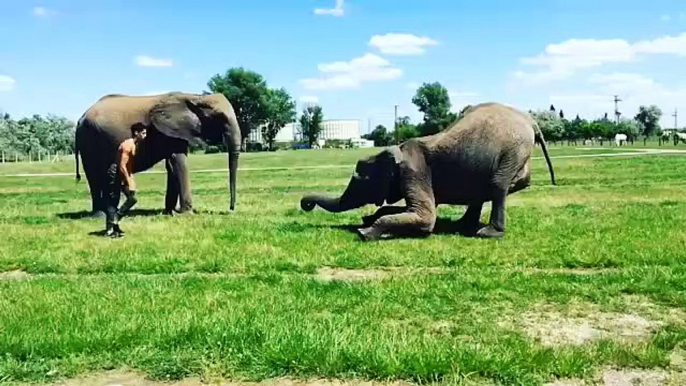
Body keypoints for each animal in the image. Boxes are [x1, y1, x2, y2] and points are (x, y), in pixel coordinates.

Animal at [74, 90, 242, 217]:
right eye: (221, 117)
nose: (231, 209)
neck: (195, 97)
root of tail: (80, 118)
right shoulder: (170, 130)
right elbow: (179, 162)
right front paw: (186, 214)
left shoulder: (174, 132)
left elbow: (172, 165)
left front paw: (170, 212)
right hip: (90, 140)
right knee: (94, 175)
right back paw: (99, 215)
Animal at [300, 102, 560, 241]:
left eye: (361, 181)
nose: (306, 205)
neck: (396, 152)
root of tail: (532, 121)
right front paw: (368, 219)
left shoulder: (414, 172)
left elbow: (426, 217)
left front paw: (365, 231)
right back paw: (463, 225)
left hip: (513, 149)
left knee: (497, 184)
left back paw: (486, 232)